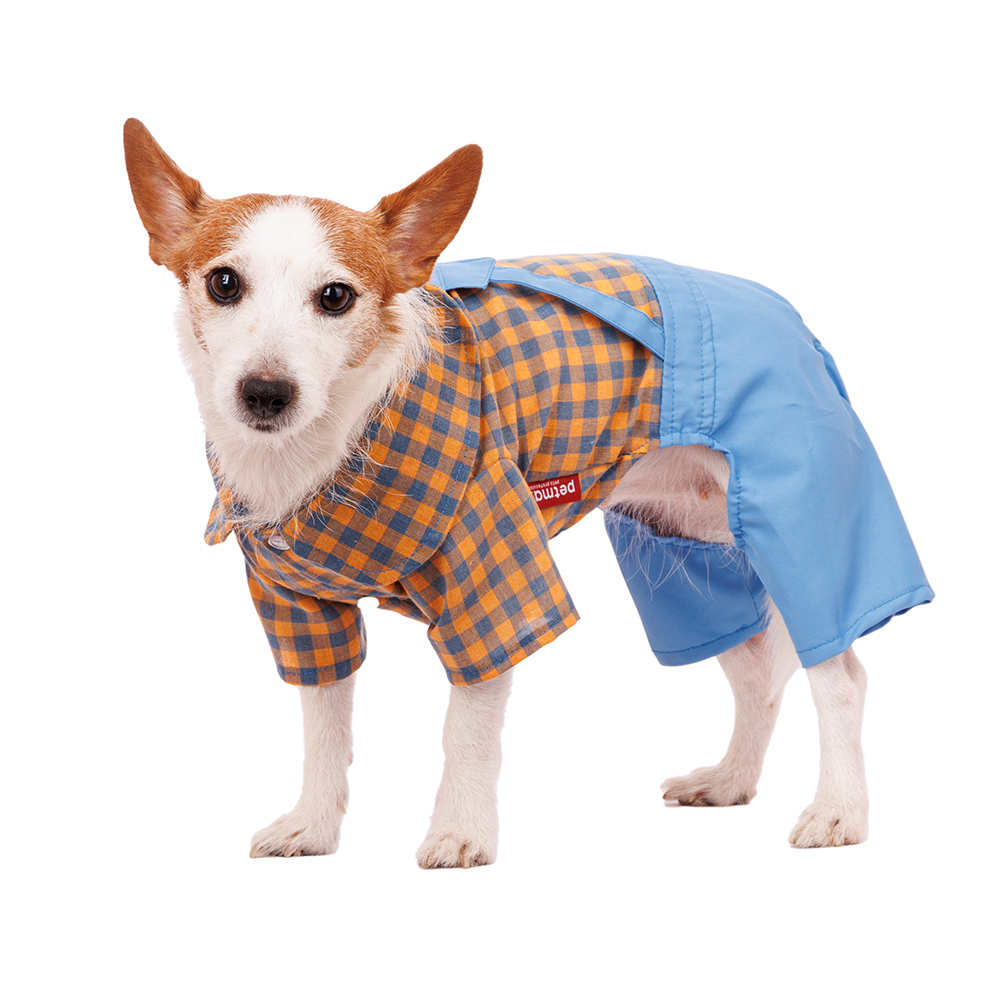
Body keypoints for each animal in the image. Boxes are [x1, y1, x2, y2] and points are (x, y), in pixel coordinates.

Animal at [123, 118, 933, 866]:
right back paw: (730, 780)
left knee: (840, 676)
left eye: (336, 297)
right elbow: (324, 728)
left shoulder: (493, 585)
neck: (330, 446)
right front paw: (314, 826)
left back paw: (839, 811)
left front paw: (460, 830)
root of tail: (789, 317)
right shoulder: (299, 608)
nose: (265, 392)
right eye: (224, 283)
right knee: (759, 670)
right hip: (687, 560)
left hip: (801, 526)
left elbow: (466, 731)